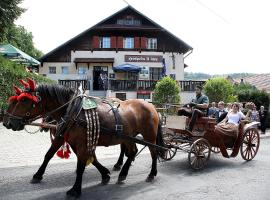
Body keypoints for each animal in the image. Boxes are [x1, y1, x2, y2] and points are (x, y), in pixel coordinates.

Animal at [3, 80, 165, 198]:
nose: (8, 123)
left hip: (149, 136)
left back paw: (151, 174)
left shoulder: (82, 143)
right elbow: (50, 155)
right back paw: (123, 173)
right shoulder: (65, 138)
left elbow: (81, 165)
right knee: (132, 153)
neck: (72, 111)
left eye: (24, 100)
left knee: (153, 153)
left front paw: (75, 189)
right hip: (129, 137)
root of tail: (152, 106)